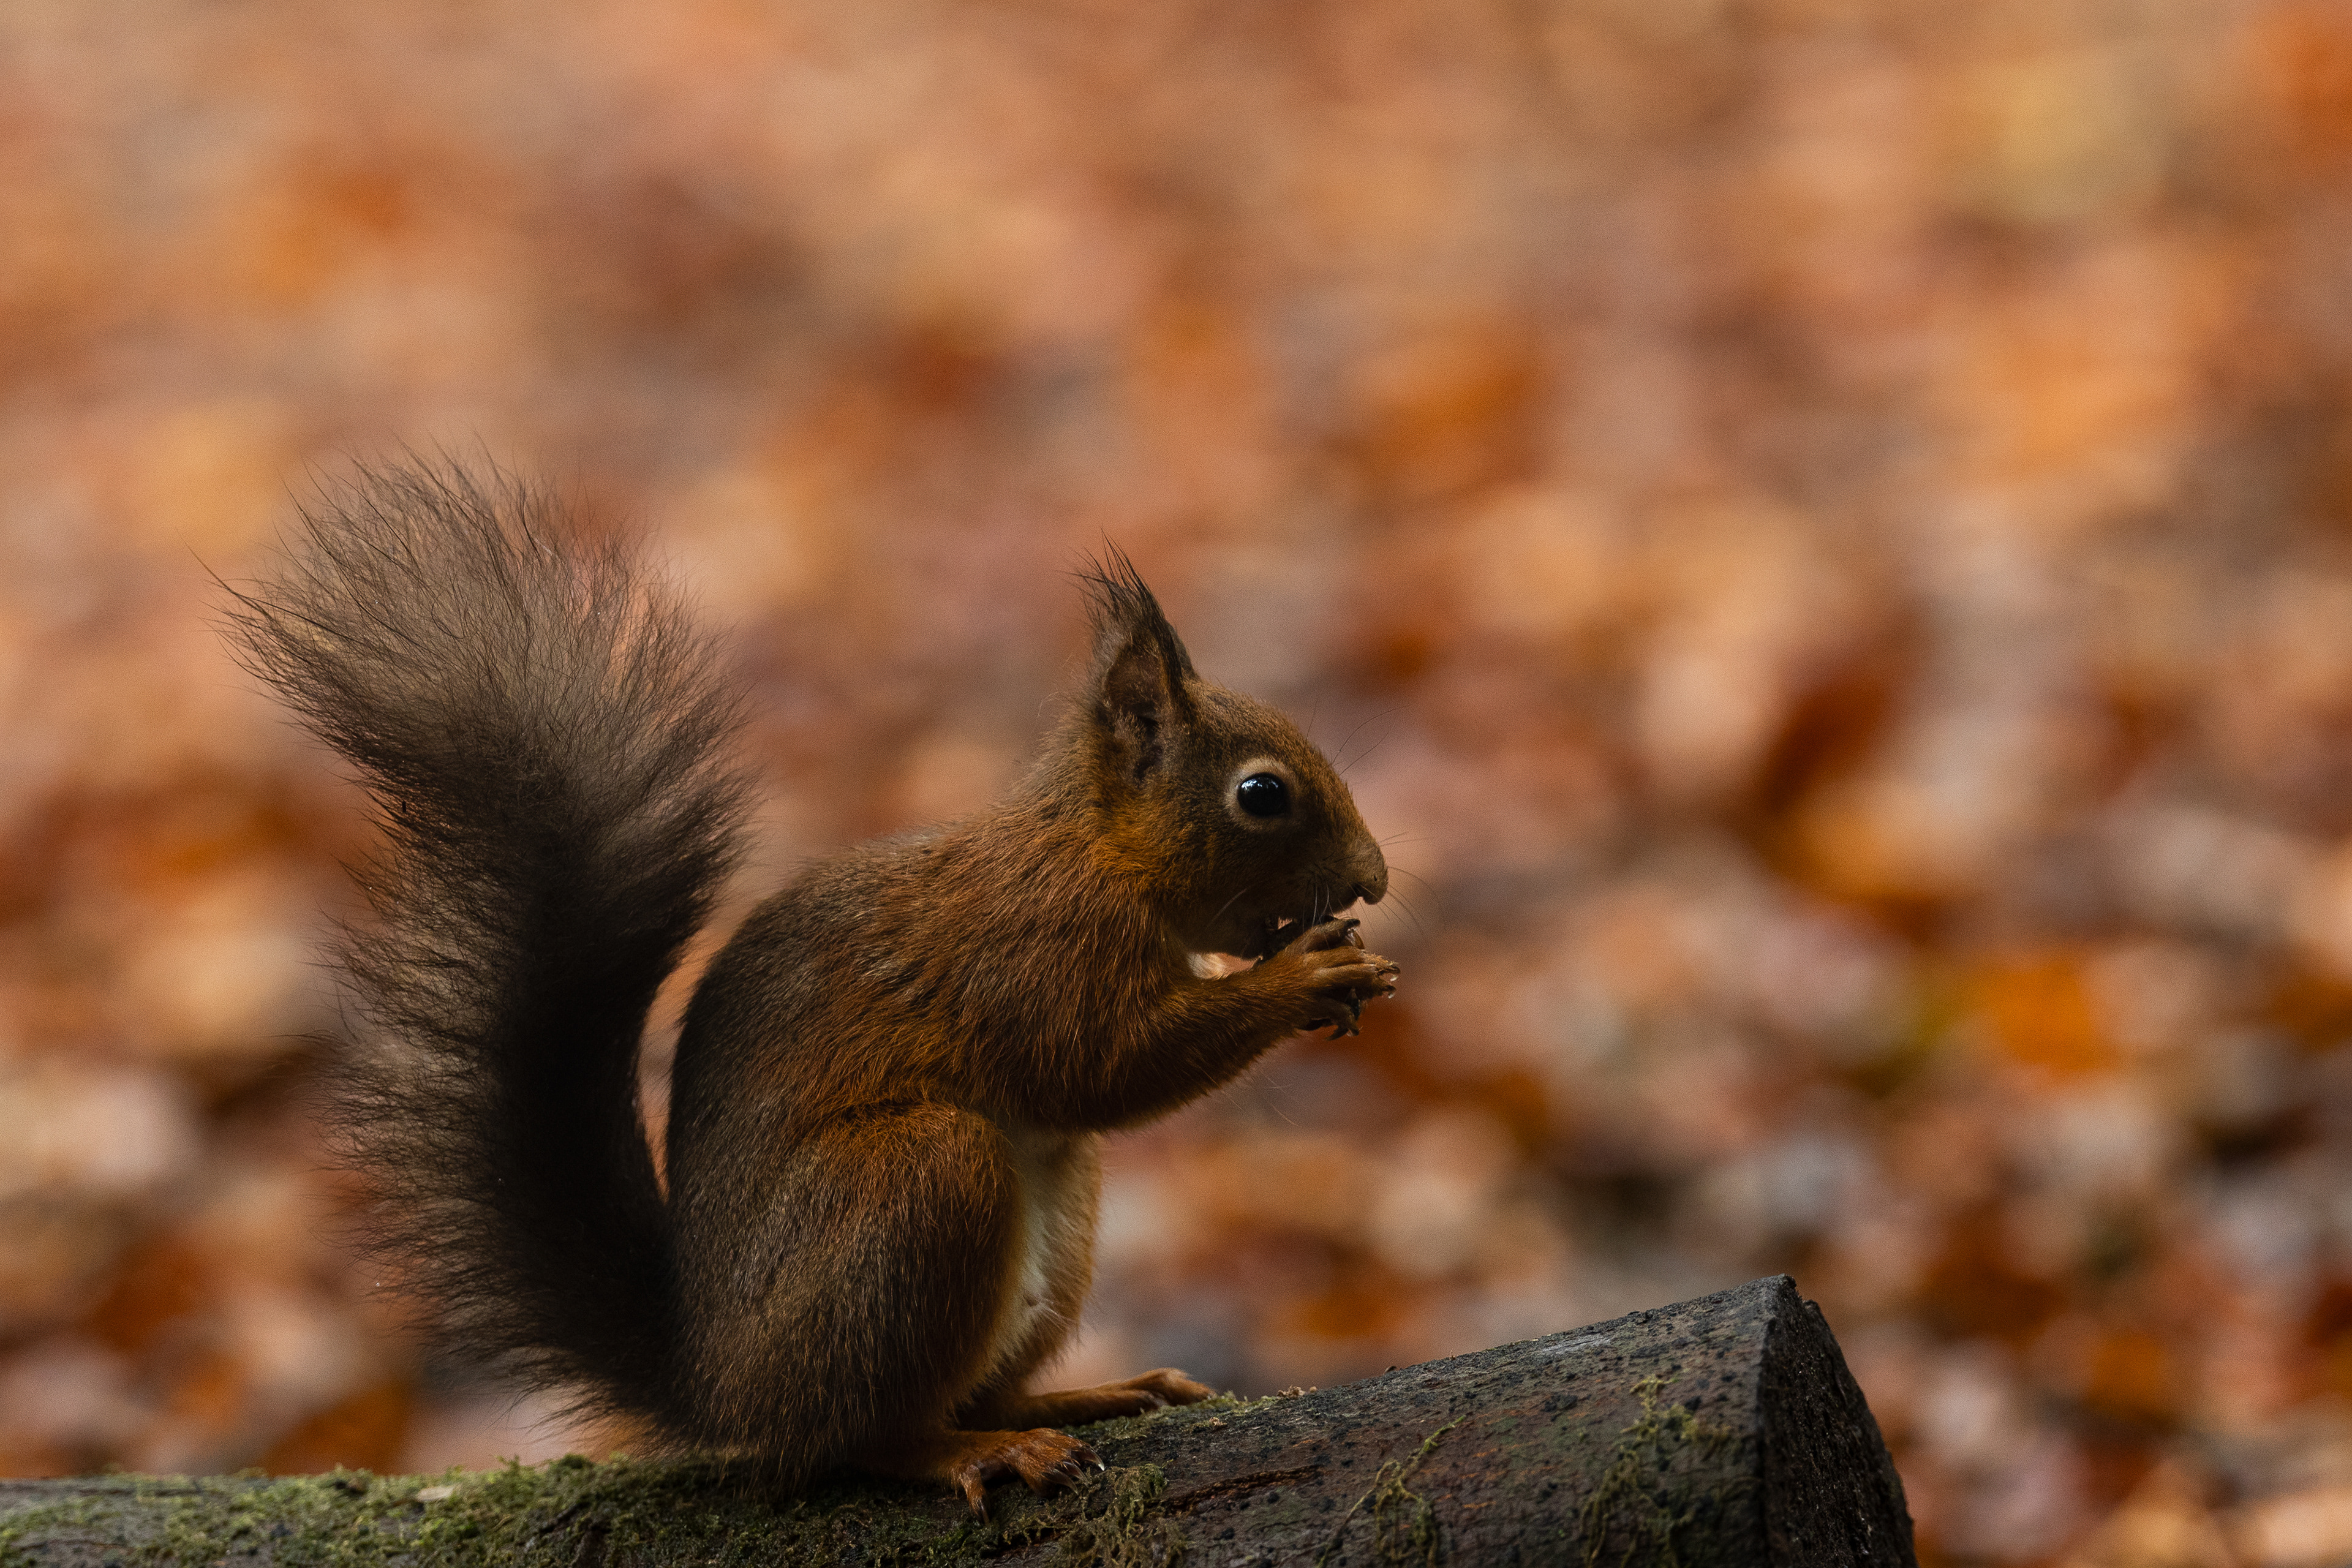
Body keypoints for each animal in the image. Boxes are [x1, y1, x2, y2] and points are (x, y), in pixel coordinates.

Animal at [226, 462, 1398, 1511]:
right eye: (1261, 795)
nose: (1375, 881)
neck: (1099, 855)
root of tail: (719, 1387)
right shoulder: (1034, 955)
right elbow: (1101, 1067)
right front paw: (1309, 975)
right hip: (915, 1189)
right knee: (867, 1437)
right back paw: (980, 1451)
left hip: (1055, 1219)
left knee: (970, 1387)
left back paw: (1084, 1398)